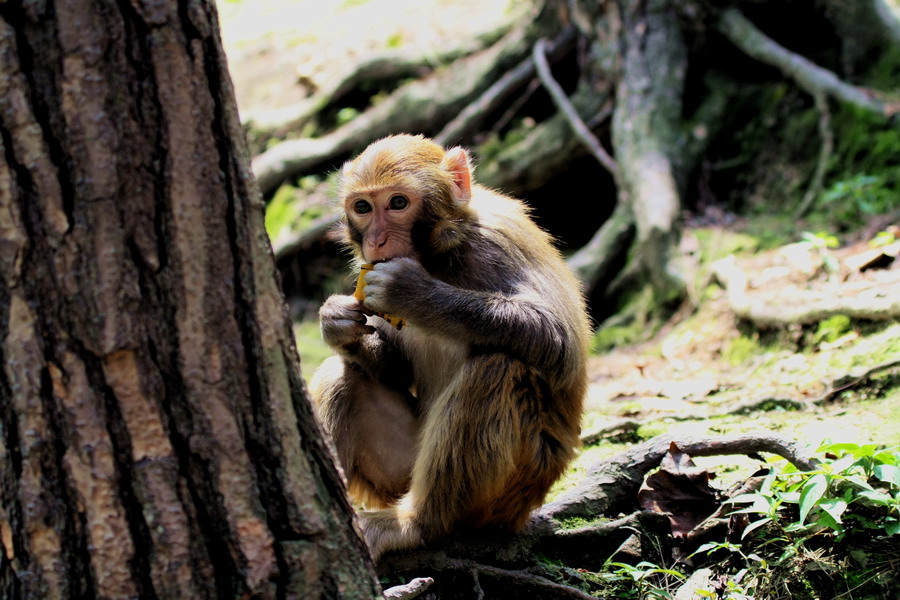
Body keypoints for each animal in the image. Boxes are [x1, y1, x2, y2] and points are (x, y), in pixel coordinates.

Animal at [310, 135, 592, 556]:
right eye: (363, 207)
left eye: (398, 202)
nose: (376, 240)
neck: (439, 255)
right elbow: (397, 368)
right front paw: (336, 322)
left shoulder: (498, 242)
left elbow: (561, 344)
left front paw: (413, 293)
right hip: (398, 473)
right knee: (340, 373)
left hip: (511, 492)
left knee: (499, 366)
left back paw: (417, 524)